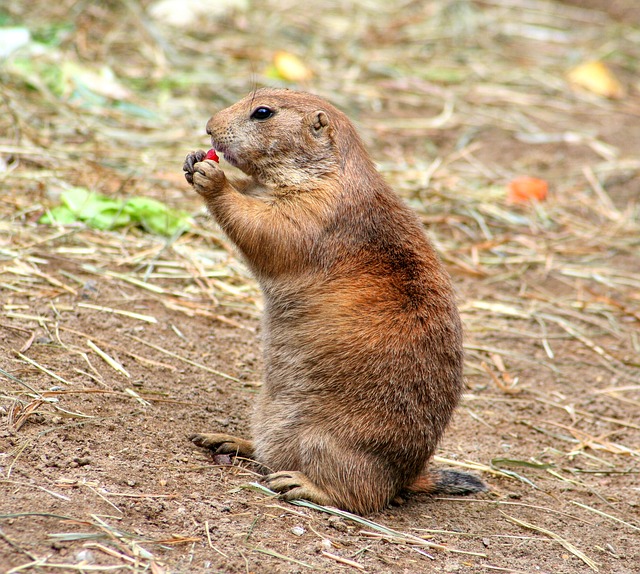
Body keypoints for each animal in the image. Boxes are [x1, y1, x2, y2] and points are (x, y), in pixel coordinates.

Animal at [183, 88, 486, 514]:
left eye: (263, 113)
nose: (209, 127)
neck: (328, 172)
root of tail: (412, 475)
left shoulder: (318, 210)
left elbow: (269, 228)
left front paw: (213, 177)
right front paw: (194, 158)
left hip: (329, 443)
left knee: (365, 495)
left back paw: (300, 484)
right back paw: (229, 440)